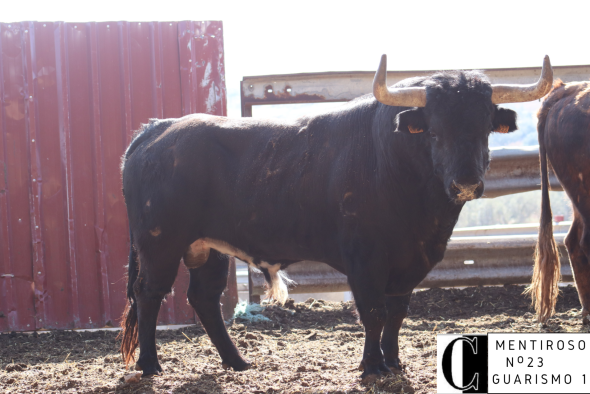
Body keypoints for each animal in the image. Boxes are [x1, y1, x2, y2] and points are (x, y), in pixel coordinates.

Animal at [120, 54, 556, 382]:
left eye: (485, 128)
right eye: (433, 130)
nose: (466, 182)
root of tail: (159, 128)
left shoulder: (410, 263)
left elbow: (397, 312)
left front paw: (393, 361)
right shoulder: (365, 259)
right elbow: (373, 312)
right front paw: (373, 366)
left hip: (209, 247)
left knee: (204, 298)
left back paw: (238, 362)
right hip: (160, 242)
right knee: (149, 293)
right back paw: (150, 365)